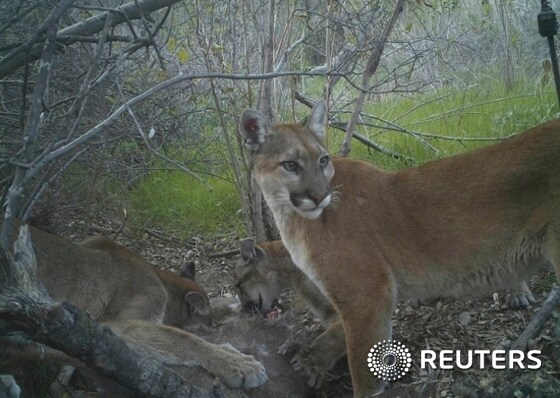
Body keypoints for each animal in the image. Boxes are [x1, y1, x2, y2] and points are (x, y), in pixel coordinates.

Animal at [28, 225, 266, 390]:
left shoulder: (94, 240)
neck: (163, 281)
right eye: (205, 320)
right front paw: (239, 363)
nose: (211, 324)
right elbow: (184, 339)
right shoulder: (119, 324)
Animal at [238, 101, 560, 396]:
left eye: (322, 160)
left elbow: (363, 373)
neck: (292, 219)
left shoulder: (365, 298)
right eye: (290, 165)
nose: (320, 196)